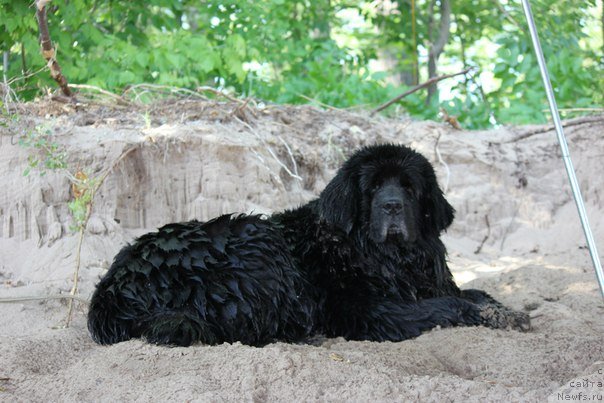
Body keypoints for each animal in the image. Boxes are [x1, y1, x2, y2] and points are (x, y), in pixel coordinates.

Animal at [88, 144, 528, 346]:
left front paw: (506, 310)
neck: (387, 257)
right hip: (257, 241)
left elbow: (475, 292)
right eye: (373, 188)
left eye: (409, 187)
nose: (391, 205)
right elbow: (445, 306)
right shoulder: (370, 311)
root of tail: (113, 285)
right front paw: (488, 315)